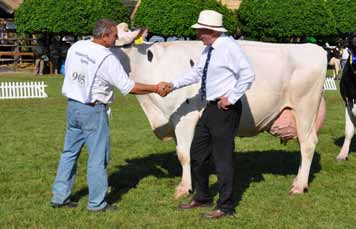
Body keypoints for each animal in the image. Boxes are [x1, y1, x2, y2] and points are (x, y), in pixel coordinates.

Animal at [112, 40, 326, 198]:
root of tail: (313, 48)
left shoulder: (186, 118)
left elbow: (184, 154)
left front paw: (184, 188)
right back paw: (298, 180)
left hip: (305, 108)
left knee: (307, 144)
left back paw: (299, 186)